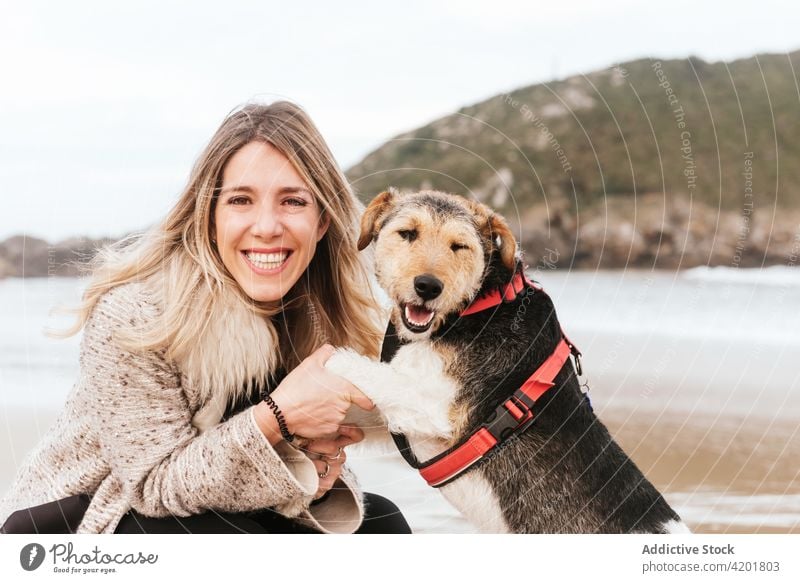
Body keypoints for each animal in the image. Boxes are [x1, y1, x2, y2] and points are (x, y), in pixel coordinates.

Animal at [324, 190, 688, 532]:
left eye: (459, 246)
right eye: (407, 233)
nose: (428, 286)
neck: (476, 306)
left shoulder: (436, 406)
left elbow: (355, 367)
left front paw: (324, 365)